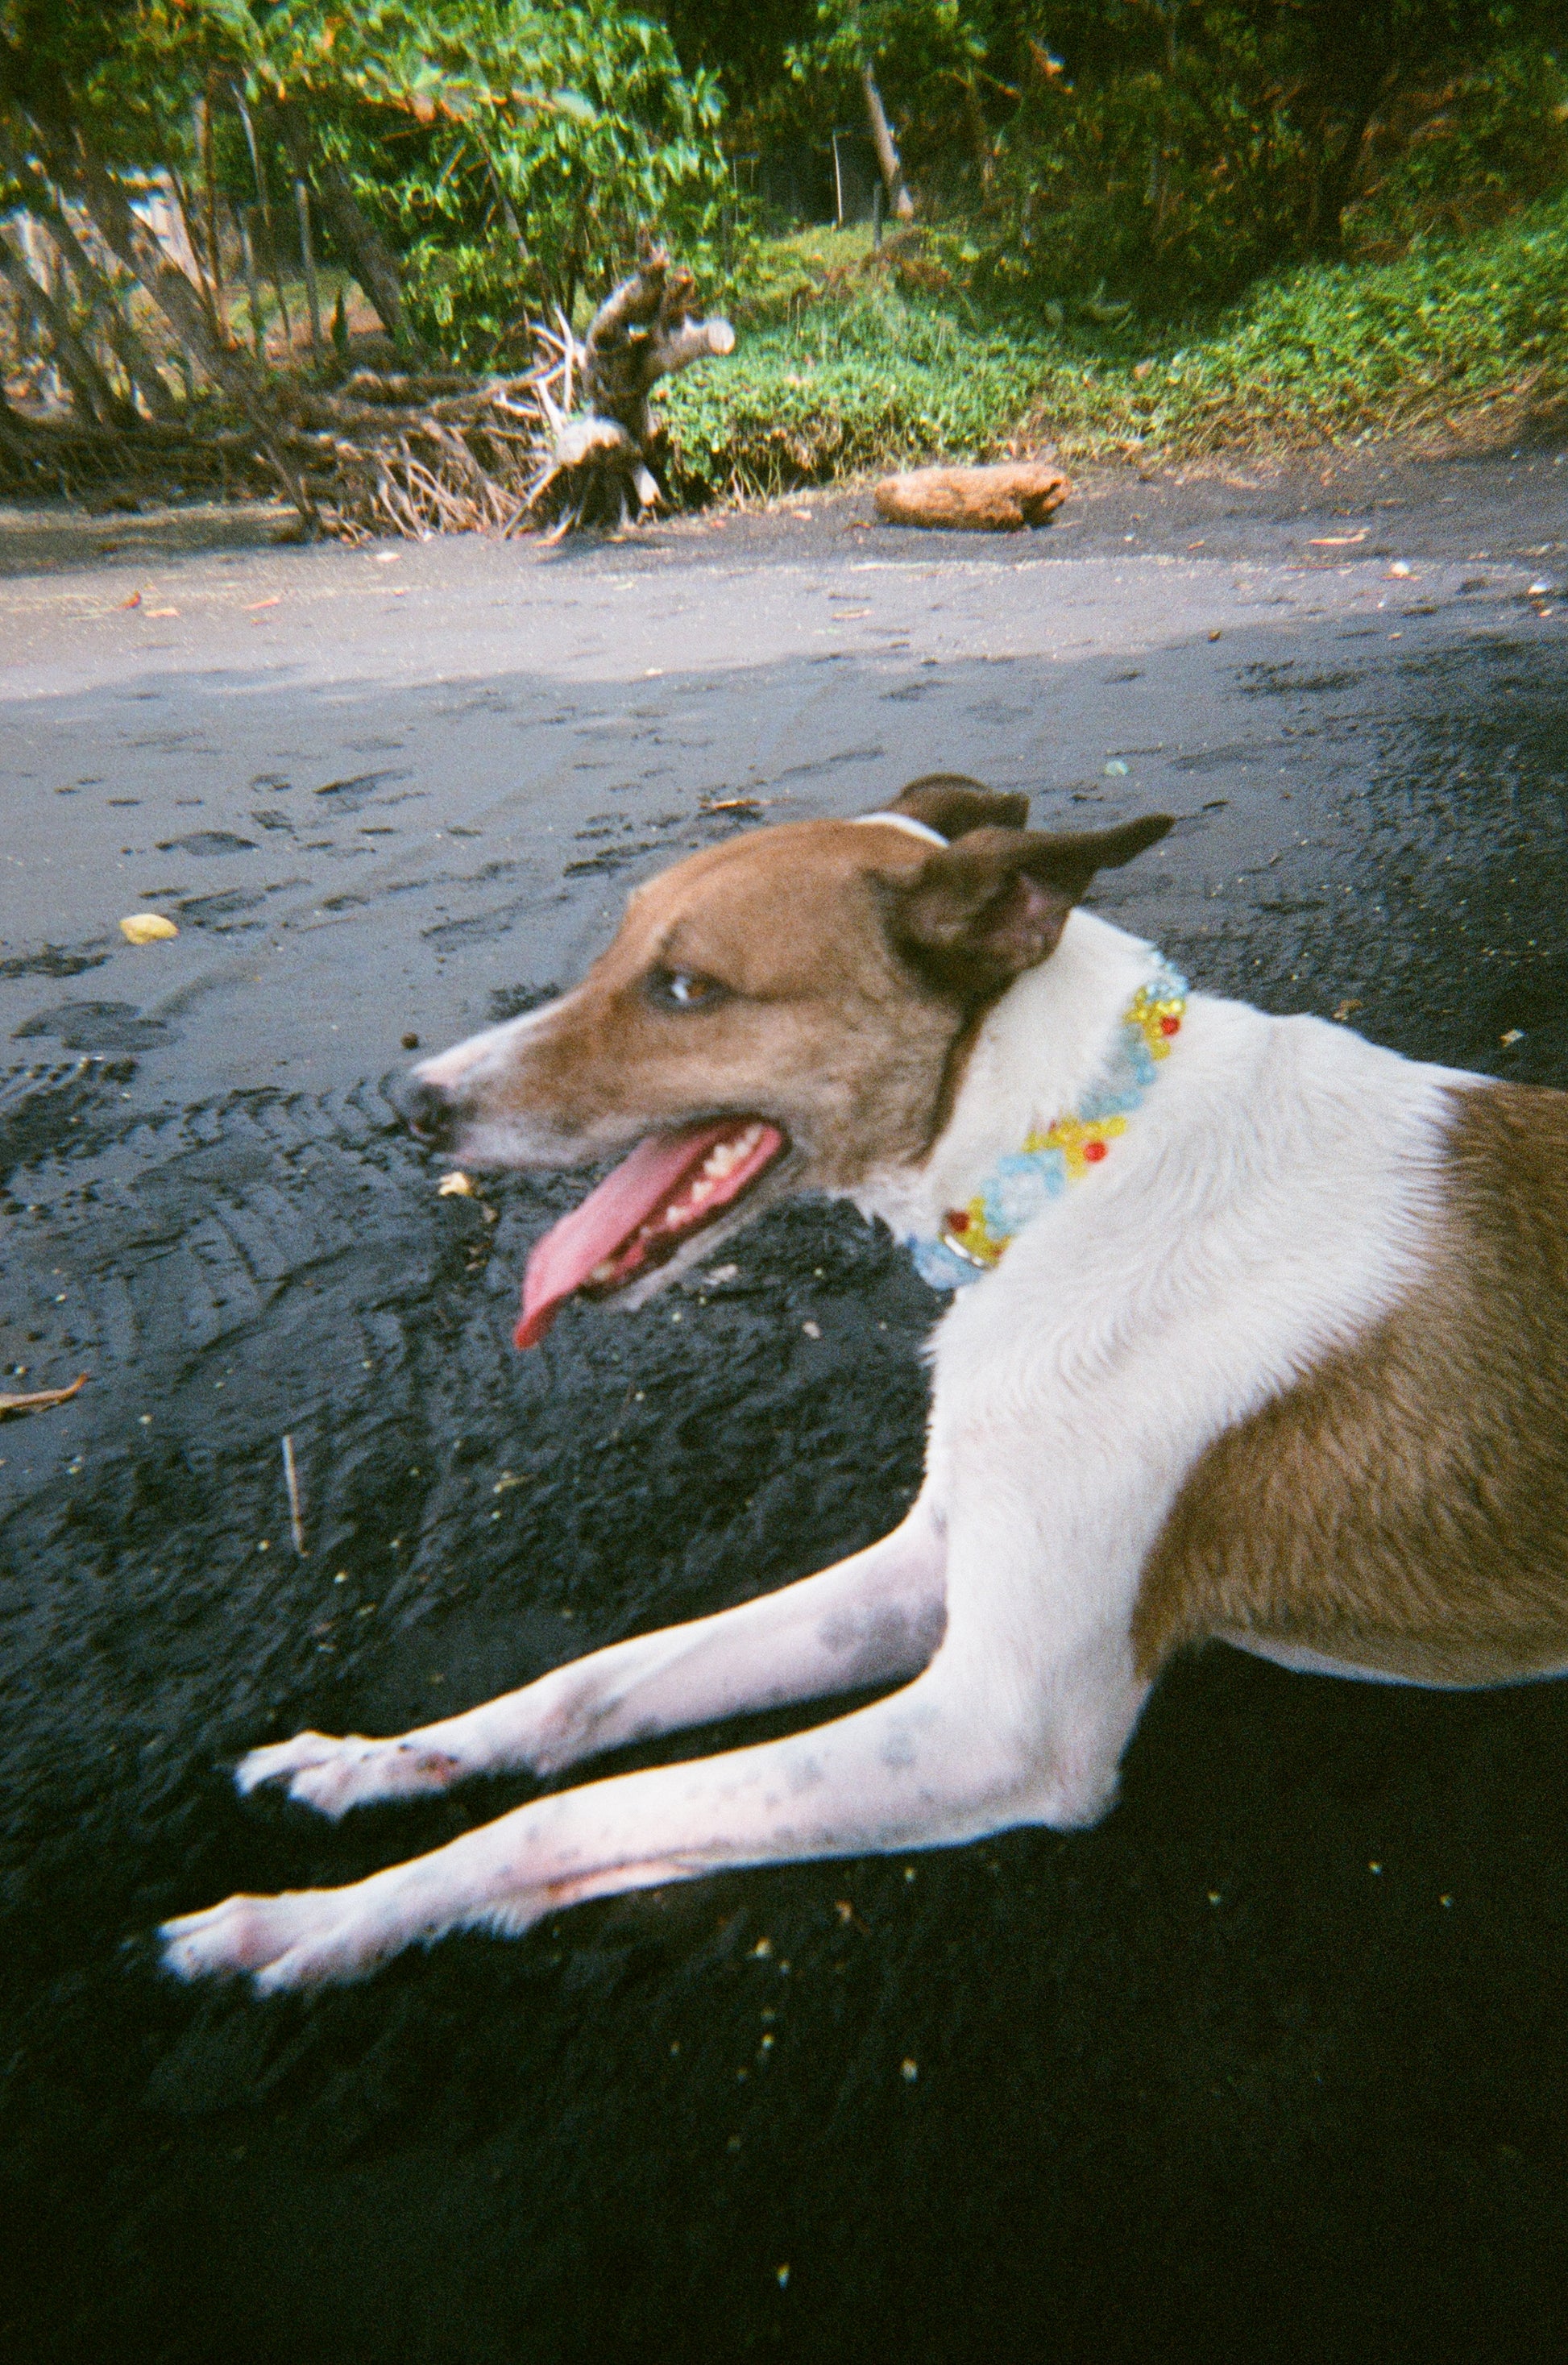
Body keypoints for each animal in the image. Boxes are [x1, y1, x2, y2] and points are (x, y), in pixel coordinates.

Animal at [162, 780, 1568, 1996]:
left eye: (687, 988)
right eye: (616, 954)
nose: (407, 1101)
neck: (1075, 1164)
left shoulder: (995, 1723)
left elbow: (564, 1817)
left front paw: (330, 1917)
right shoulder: (932, 1561)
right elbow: (589, 1685)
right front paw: (378, 1761)